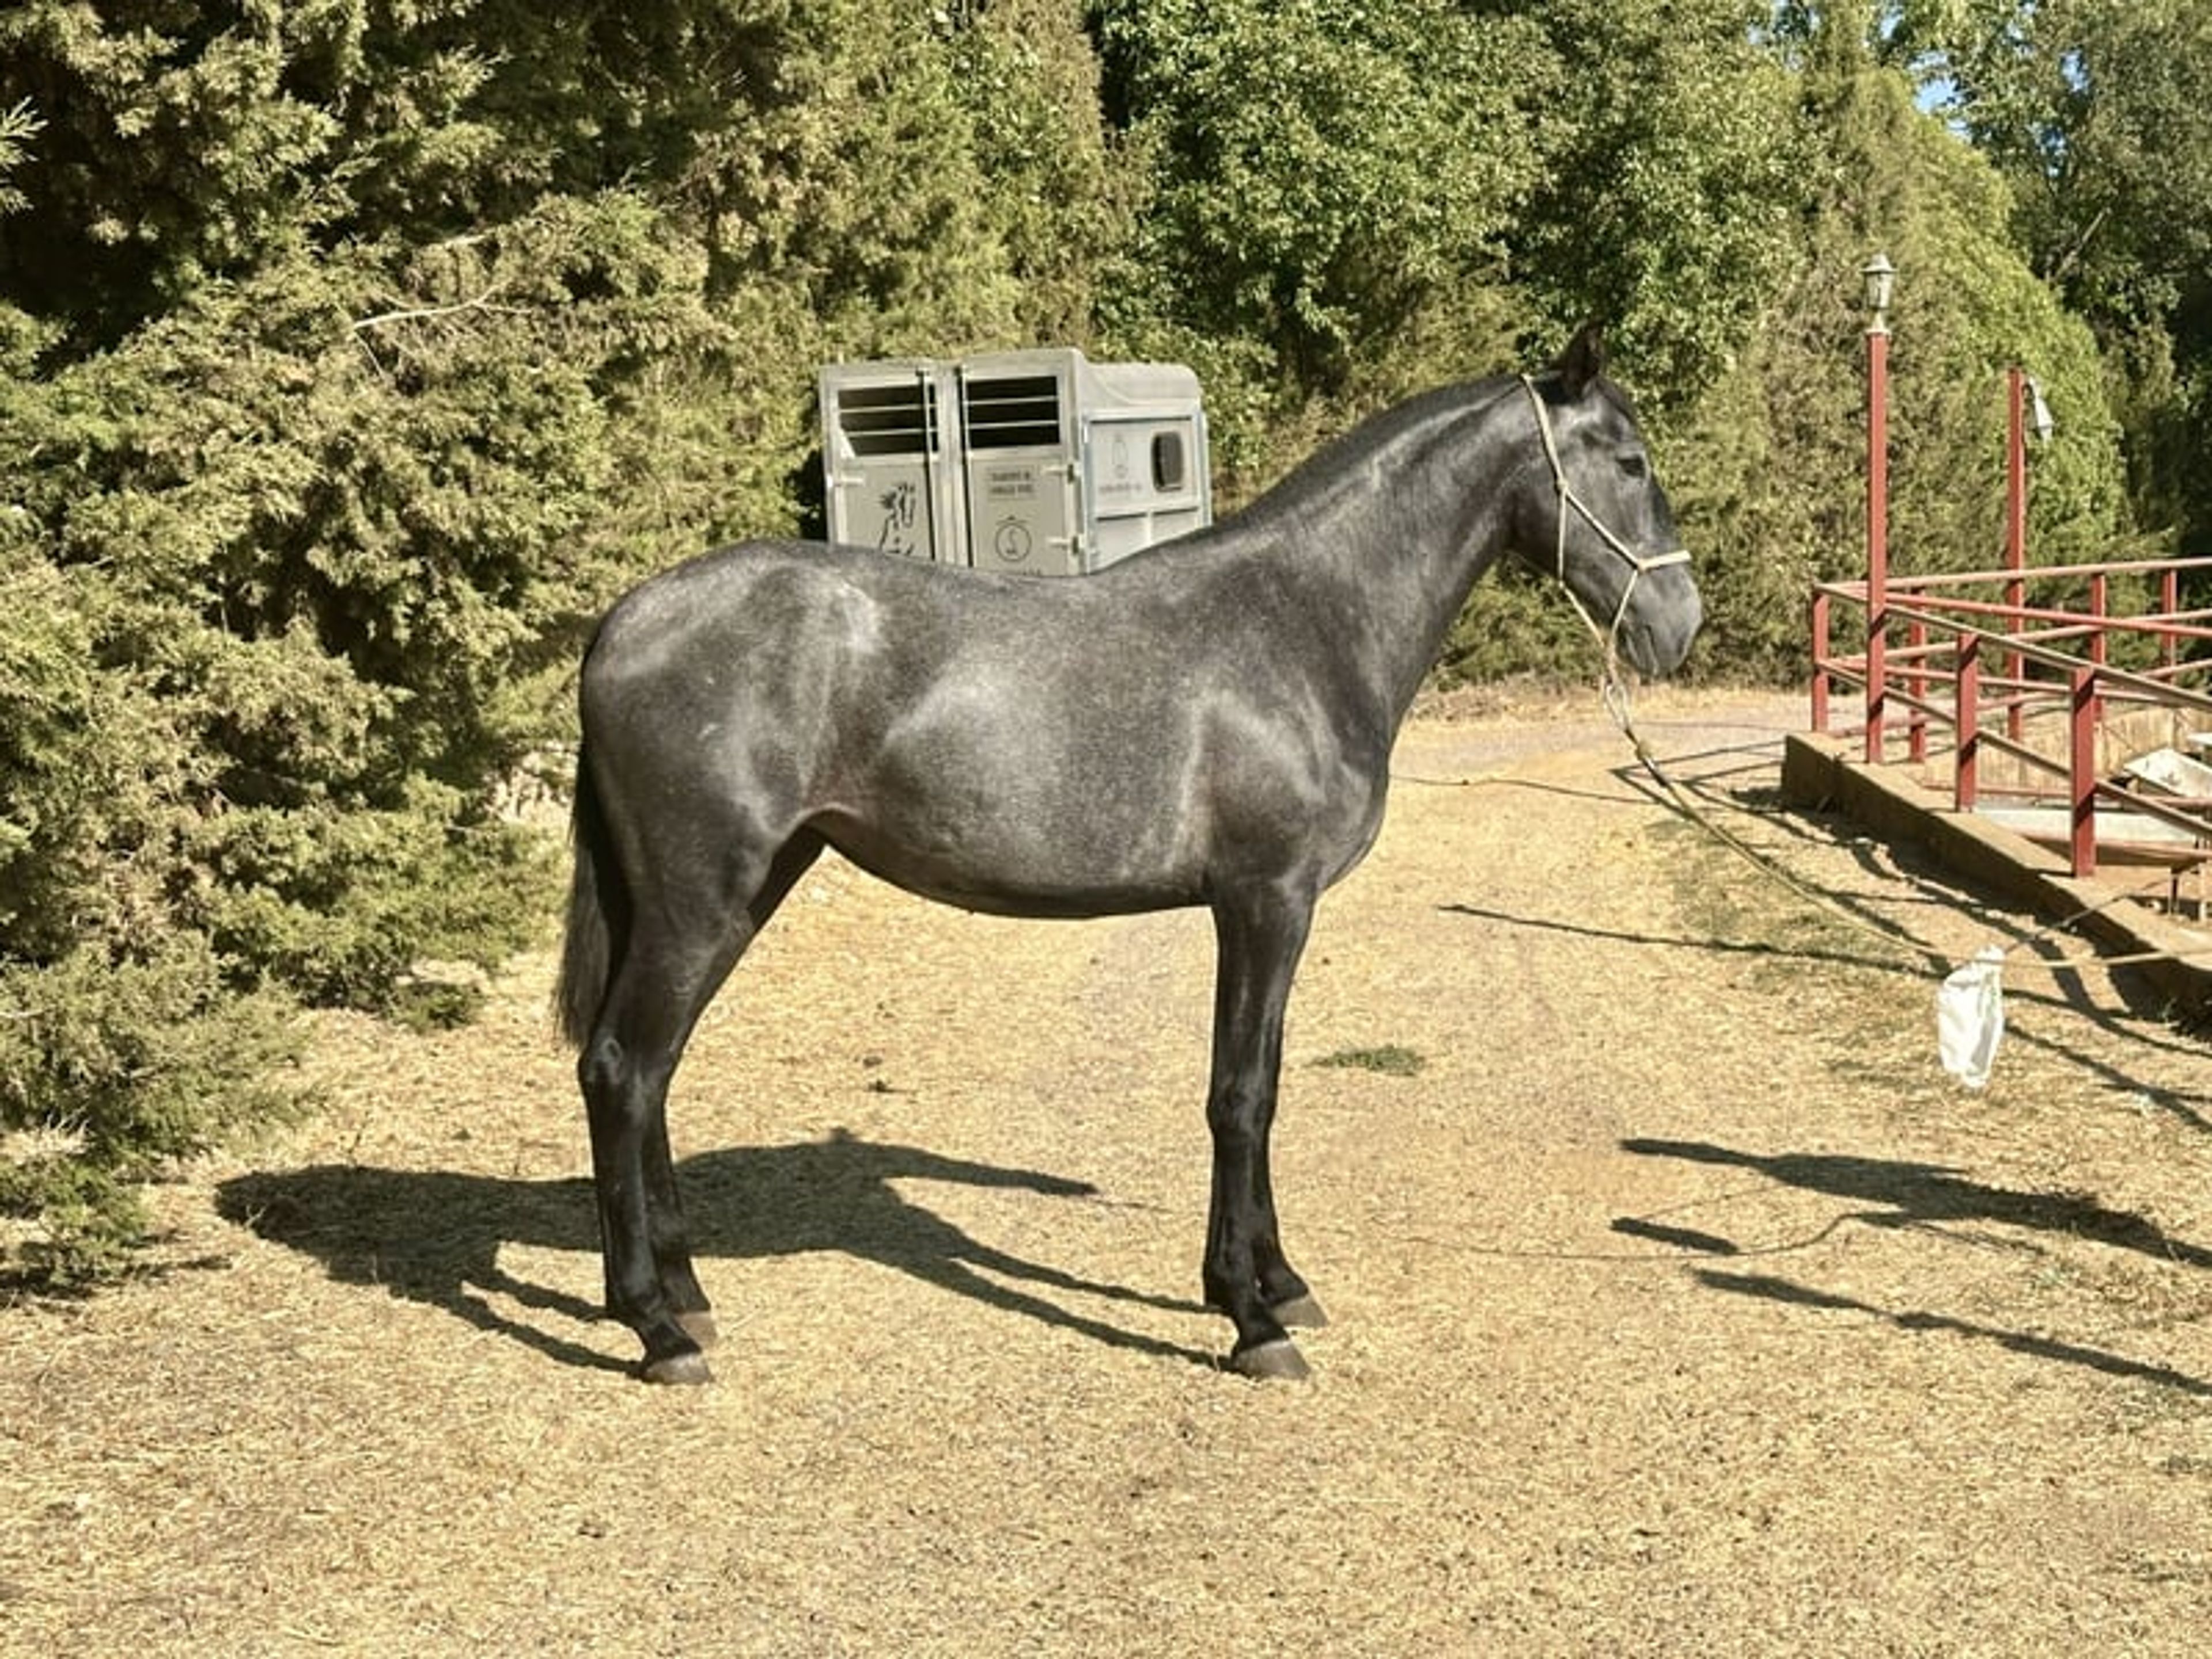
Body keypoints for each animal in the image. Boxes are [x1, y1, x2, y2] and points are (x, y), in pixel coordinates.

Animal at [556, 324, 1702, 1384]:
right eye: (1630, 462)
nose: (1680, 625)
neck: (1303, 624)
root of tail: (623, 622)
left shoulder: (1269, 911)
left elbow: (1263, 1086)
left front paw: (1278, 1281)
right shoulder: (1265, 901)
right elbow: (1241, 1096)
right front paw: (1252, 1319)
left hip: (742, 893)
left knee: (652, 1073)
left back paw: (688, 1296)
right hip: (699, 906)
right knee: (621, 1069)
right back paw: (655, 1328)